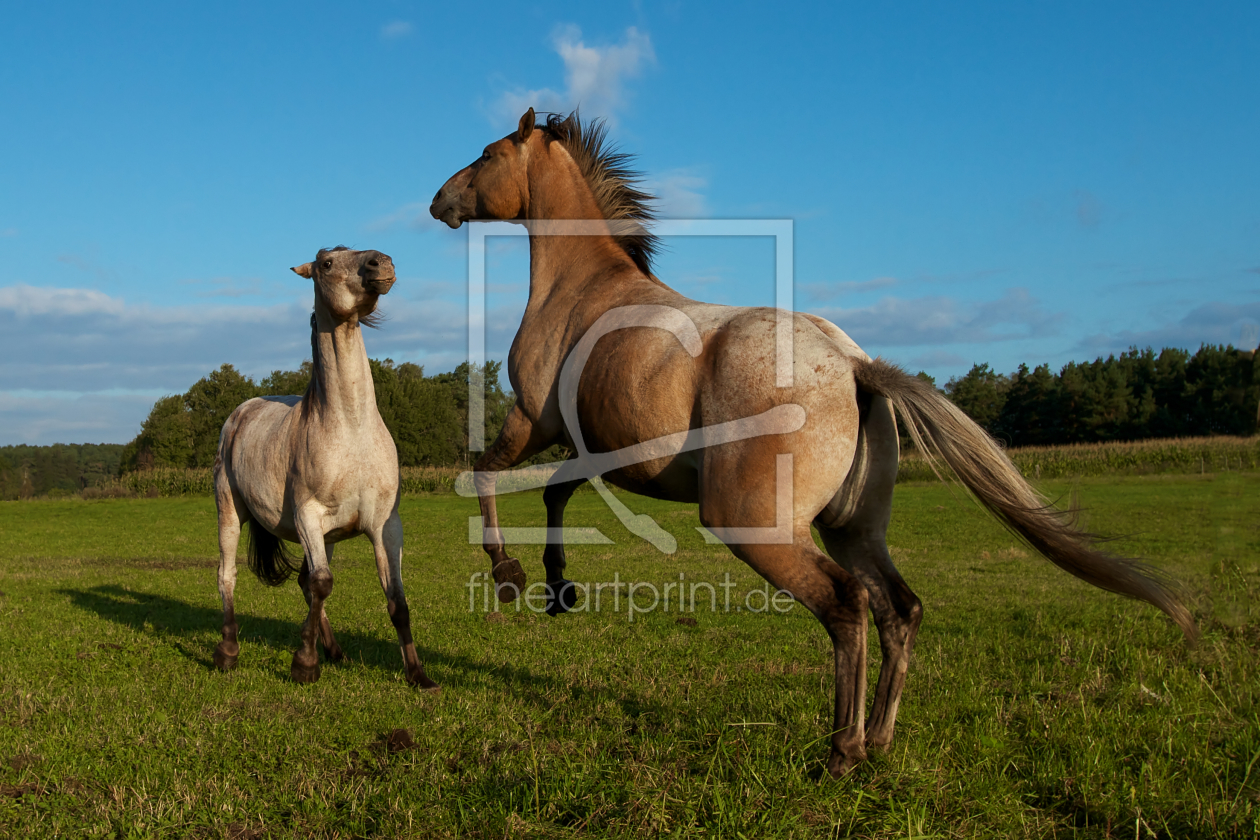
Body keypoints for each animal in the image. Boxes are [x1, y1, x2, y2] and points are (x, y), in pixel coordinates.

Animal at [212, 244, 438, 690]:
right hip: (231, 514)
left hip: (328, 537)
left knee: (304, 581)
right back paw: (228, 652)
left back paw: (335, 651)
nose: (382, 263)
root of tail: (240, 414)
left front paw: (419, 675)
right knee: (228, 575)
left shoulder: (385, 525)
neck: (350, 428)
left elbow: (396, 599)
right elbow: (322, 583)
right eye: (327, 263)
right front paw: (304, 664)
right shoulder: (308, 517)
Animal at [428, 111, 1194, 780]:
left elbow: (484, 475)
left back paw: (840, 752)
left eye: (488, 154)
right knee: (899, 609)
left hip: (759, 526)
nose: (439, 202)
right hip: (852, 527)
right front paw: (558, 589)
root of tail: (854, 365)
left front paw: (512, 577)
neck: (582, 290)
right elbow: (556, 494)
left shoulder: (533, 420)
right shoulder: (585, 448)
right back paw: (878, 740)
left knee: (846, 606)